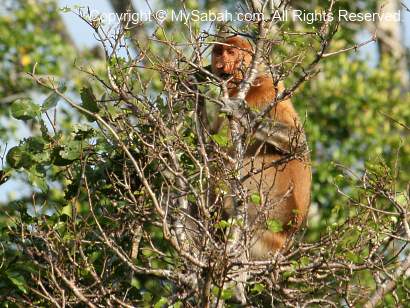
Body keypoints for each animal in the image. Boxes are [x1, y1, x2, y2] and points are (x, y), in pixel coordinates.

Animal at [211, 35, 310, 258]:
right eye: (218, 52)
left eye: (231, 52)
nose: (221, 64)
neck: (249, 86)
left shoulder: (269, 90)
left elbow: (298, 143)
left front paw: (240, 111)